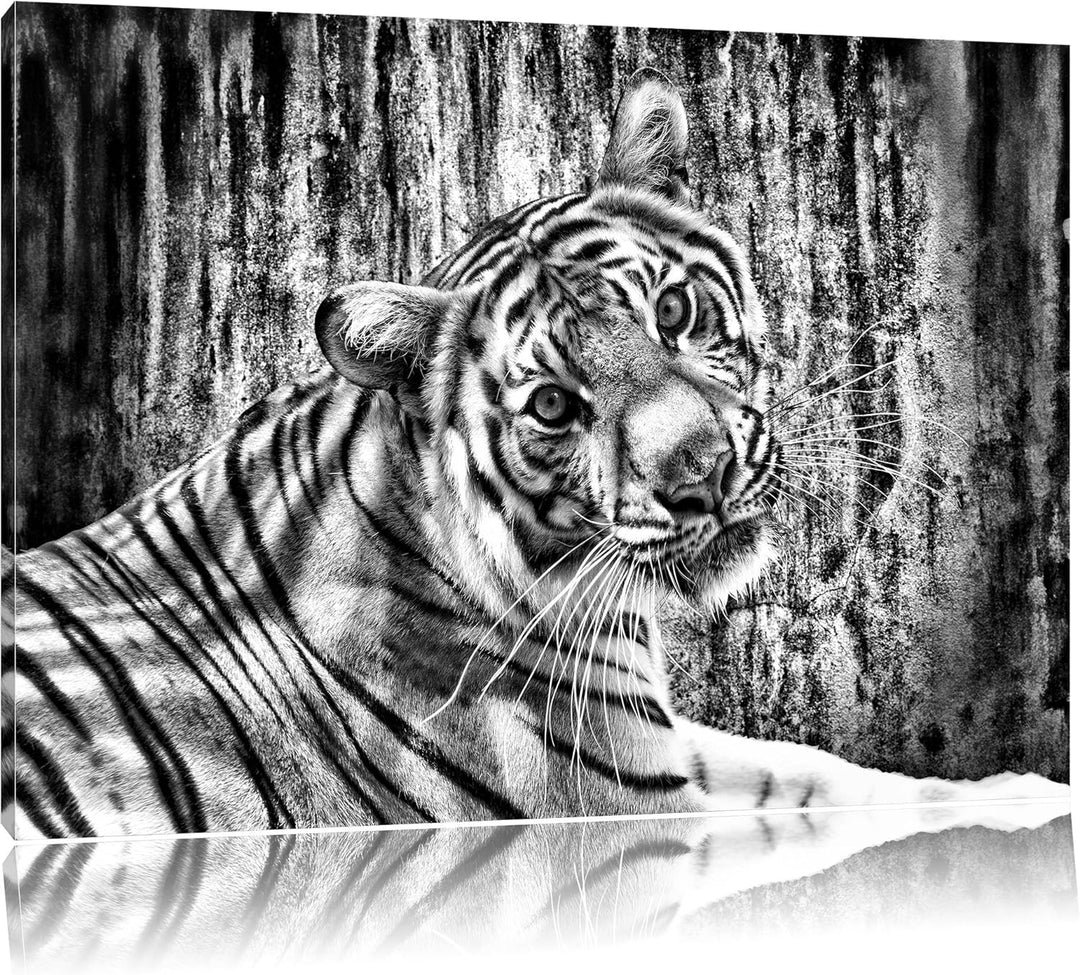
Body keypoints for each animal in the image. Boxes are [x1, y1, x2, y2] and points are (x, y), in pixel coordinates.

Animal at [0, 67, 1067, 840]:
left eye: (673, 311)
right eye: (554, 405)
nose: (704, 473)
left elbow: (816, 769)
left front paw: (1019, 792)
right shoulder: (625, 795)